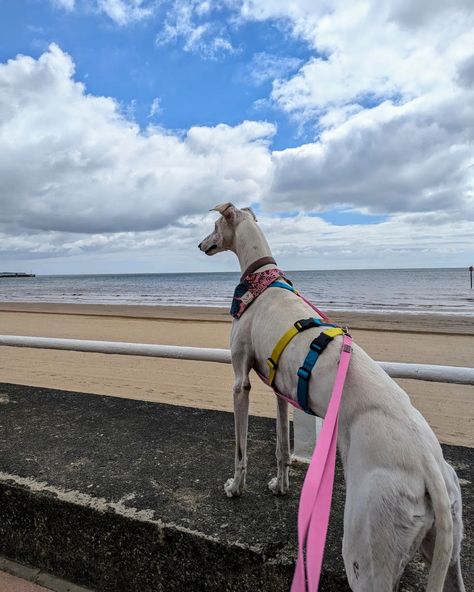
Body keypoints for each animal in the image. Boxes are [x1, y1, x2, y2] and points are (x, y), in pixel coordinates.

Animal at [198, 205, 464, 592]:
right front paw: (281, 486)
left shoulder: (240, 383)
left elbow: (240, 450)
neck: (262, 282)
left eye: (214, 224)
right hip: (448, 547)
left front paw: (235, 487)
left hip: (366, 549)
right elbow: (281, 447)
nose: (200, 244)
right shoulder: (279, 390)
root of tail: (429, 465)